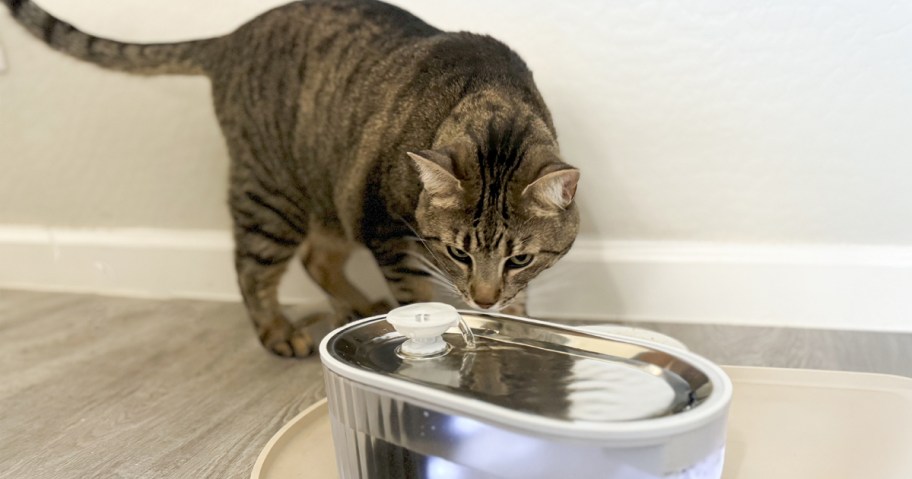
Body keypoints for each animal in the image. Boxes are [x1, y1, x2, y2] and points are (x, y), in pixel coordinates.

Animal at [7, 0, 580, 356]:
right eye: (458, 253)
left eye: (520, 259)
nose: (482, 299)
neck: (492, 101)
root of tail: (229, 38)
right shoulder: (389, 234)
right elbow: (419, 297)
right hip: (273, 199)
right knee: (252, 270)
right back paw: (278, 332)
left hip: (331, 192)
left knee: (315, 259)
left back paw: (356, 306)